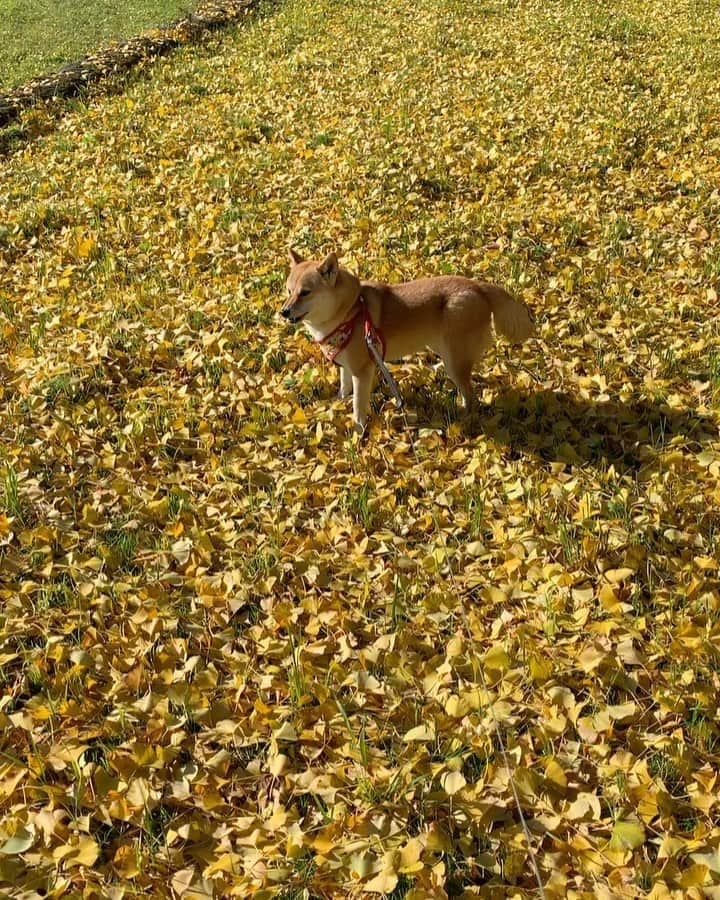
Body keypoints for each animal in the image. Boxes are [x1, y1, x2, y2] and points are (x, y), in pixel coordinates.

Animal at [282, 250, 536, 432]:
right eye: (288, 291)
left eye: (305, 292)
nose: (283, 312)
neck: (351, 310)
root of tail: (478, 286)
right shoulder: (346, 366)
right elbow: (345, 390)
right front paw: (338, 406)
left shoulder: (362, 372)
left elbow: (358, 406)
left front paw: (358, 432)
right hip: (442, 348)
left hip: (455, 362)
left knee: (470, 397)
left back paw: (464, 418)